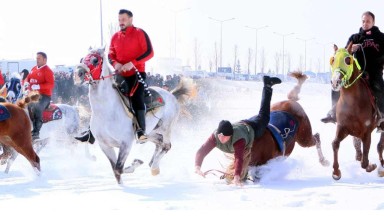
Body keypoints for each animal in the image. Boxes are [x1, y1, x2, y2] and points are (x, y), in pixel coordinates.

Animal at [76, 47, 194, 184]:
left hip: (166, 128)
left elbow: (119, 168)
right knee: (158, 142)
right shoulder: (104, 145)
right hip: (151, 132)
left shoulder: (126, 144)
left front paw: (135, 164)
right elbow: (116, 170)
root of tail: (171, 94)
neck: (107, 112)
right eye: (81, 59)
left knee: (166, 145)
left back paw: (154, 167)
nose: (78, 73)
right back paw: (152, 163)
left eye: (95, 60)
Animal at [328, 43, 384, 180]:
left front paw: (372, 166)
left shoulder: (366, 132)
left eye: (348, 60)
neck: (353, 103)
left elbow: (365, 162)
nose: (335, 82)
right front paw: (336, 172)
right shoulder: (344, 127)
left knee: (380, 146)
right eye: (333, 60)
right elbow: (335, 143)